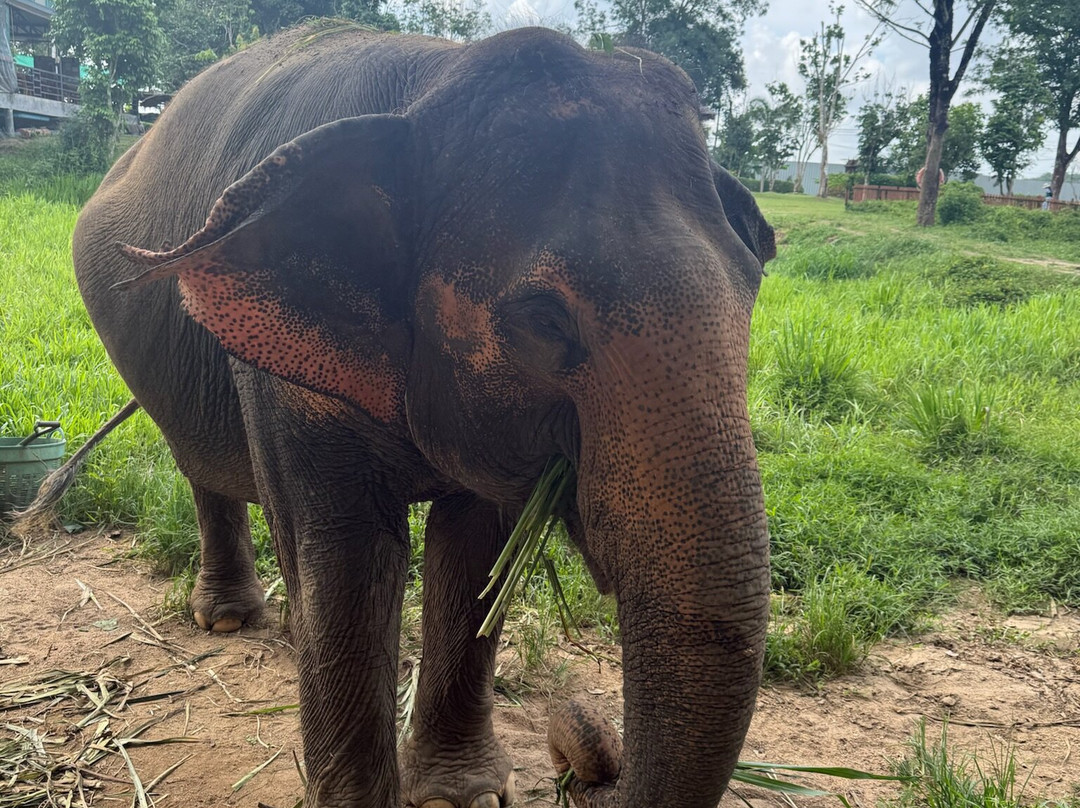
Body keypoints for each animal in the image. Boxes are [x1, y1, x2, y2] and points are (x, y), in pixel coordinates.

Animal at [62, 24, 775, 808]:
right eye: (545, 320)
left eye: (755, 283)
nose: (580, 750)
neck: (429, 85)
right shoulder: (280, 375)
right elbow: (349, 556)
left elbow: (474, 547)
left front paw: (463, 795)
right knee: (200, 469)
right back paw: (226, 619)